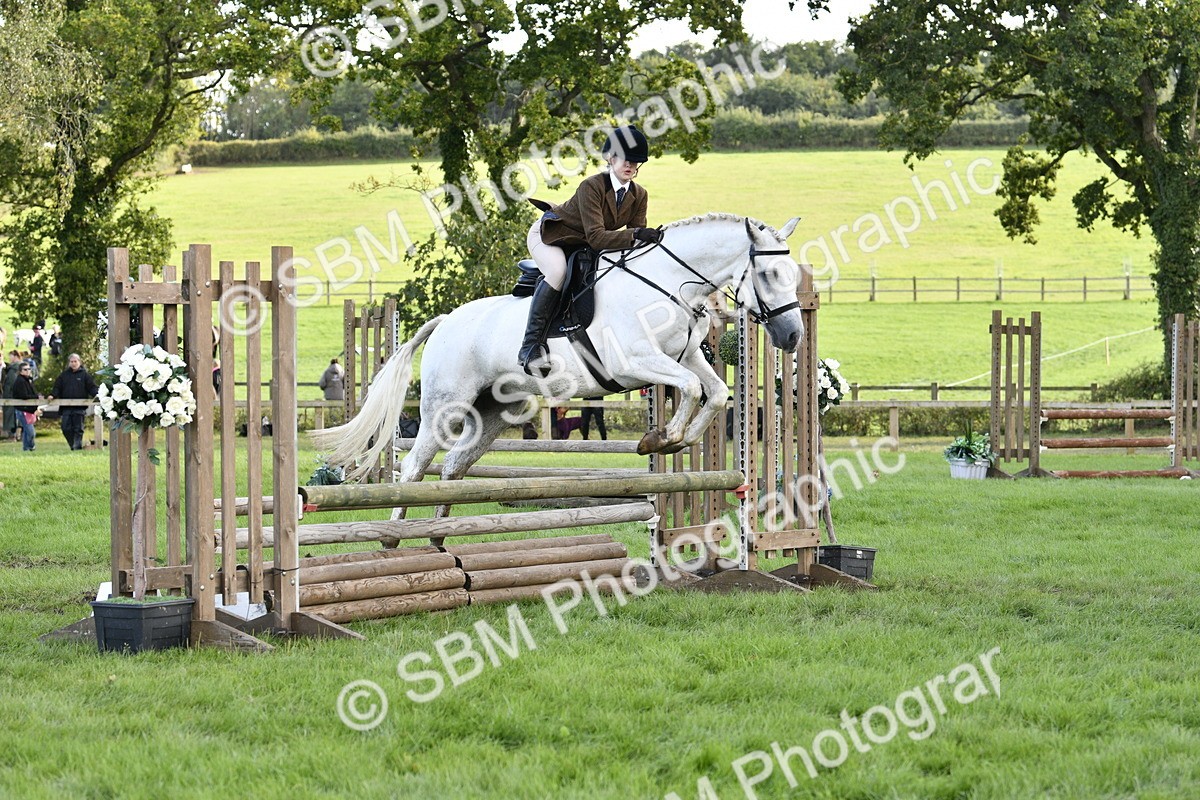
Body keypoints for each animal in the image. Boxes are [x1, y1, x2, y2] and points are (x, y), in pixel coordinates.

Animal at [312, 213, 806, 491]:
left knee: (453, 468)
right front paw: (659, 439)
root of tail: (447, 321)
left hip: (492, 412)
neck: (667, 282)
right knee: (414, 468)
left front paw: (673, 439)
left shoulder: (686, 356)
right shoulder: (636, 363)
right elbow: (688, 389)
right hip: (444, 407)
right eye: (767, 274)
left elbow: (716, 392)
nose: (792, 338)